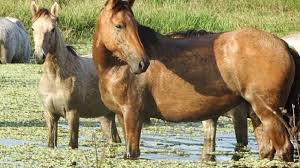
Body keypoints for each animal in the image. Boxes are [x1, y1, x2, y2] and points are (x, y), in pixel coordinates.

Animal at [30, 1, 119, 148]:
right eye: (33, 28)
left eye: (52, 29)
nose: (39, 56)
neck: (55, 79)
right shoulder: (50, 115)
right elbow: (51, 143)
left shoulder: (73, 114)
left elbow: (72, 144)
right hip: (106, 116)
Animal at [93, 0, 296, 161]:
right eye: (119, 25)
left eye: (135, 26)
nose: (142, 63)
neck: (116, 67)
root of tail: (284, 45)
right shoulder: (121, 115)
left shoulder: (133, 115)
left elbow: (132, 154)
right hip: (257, 115)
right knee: (267, 150)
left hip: (269, 113)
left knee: (285, 149)